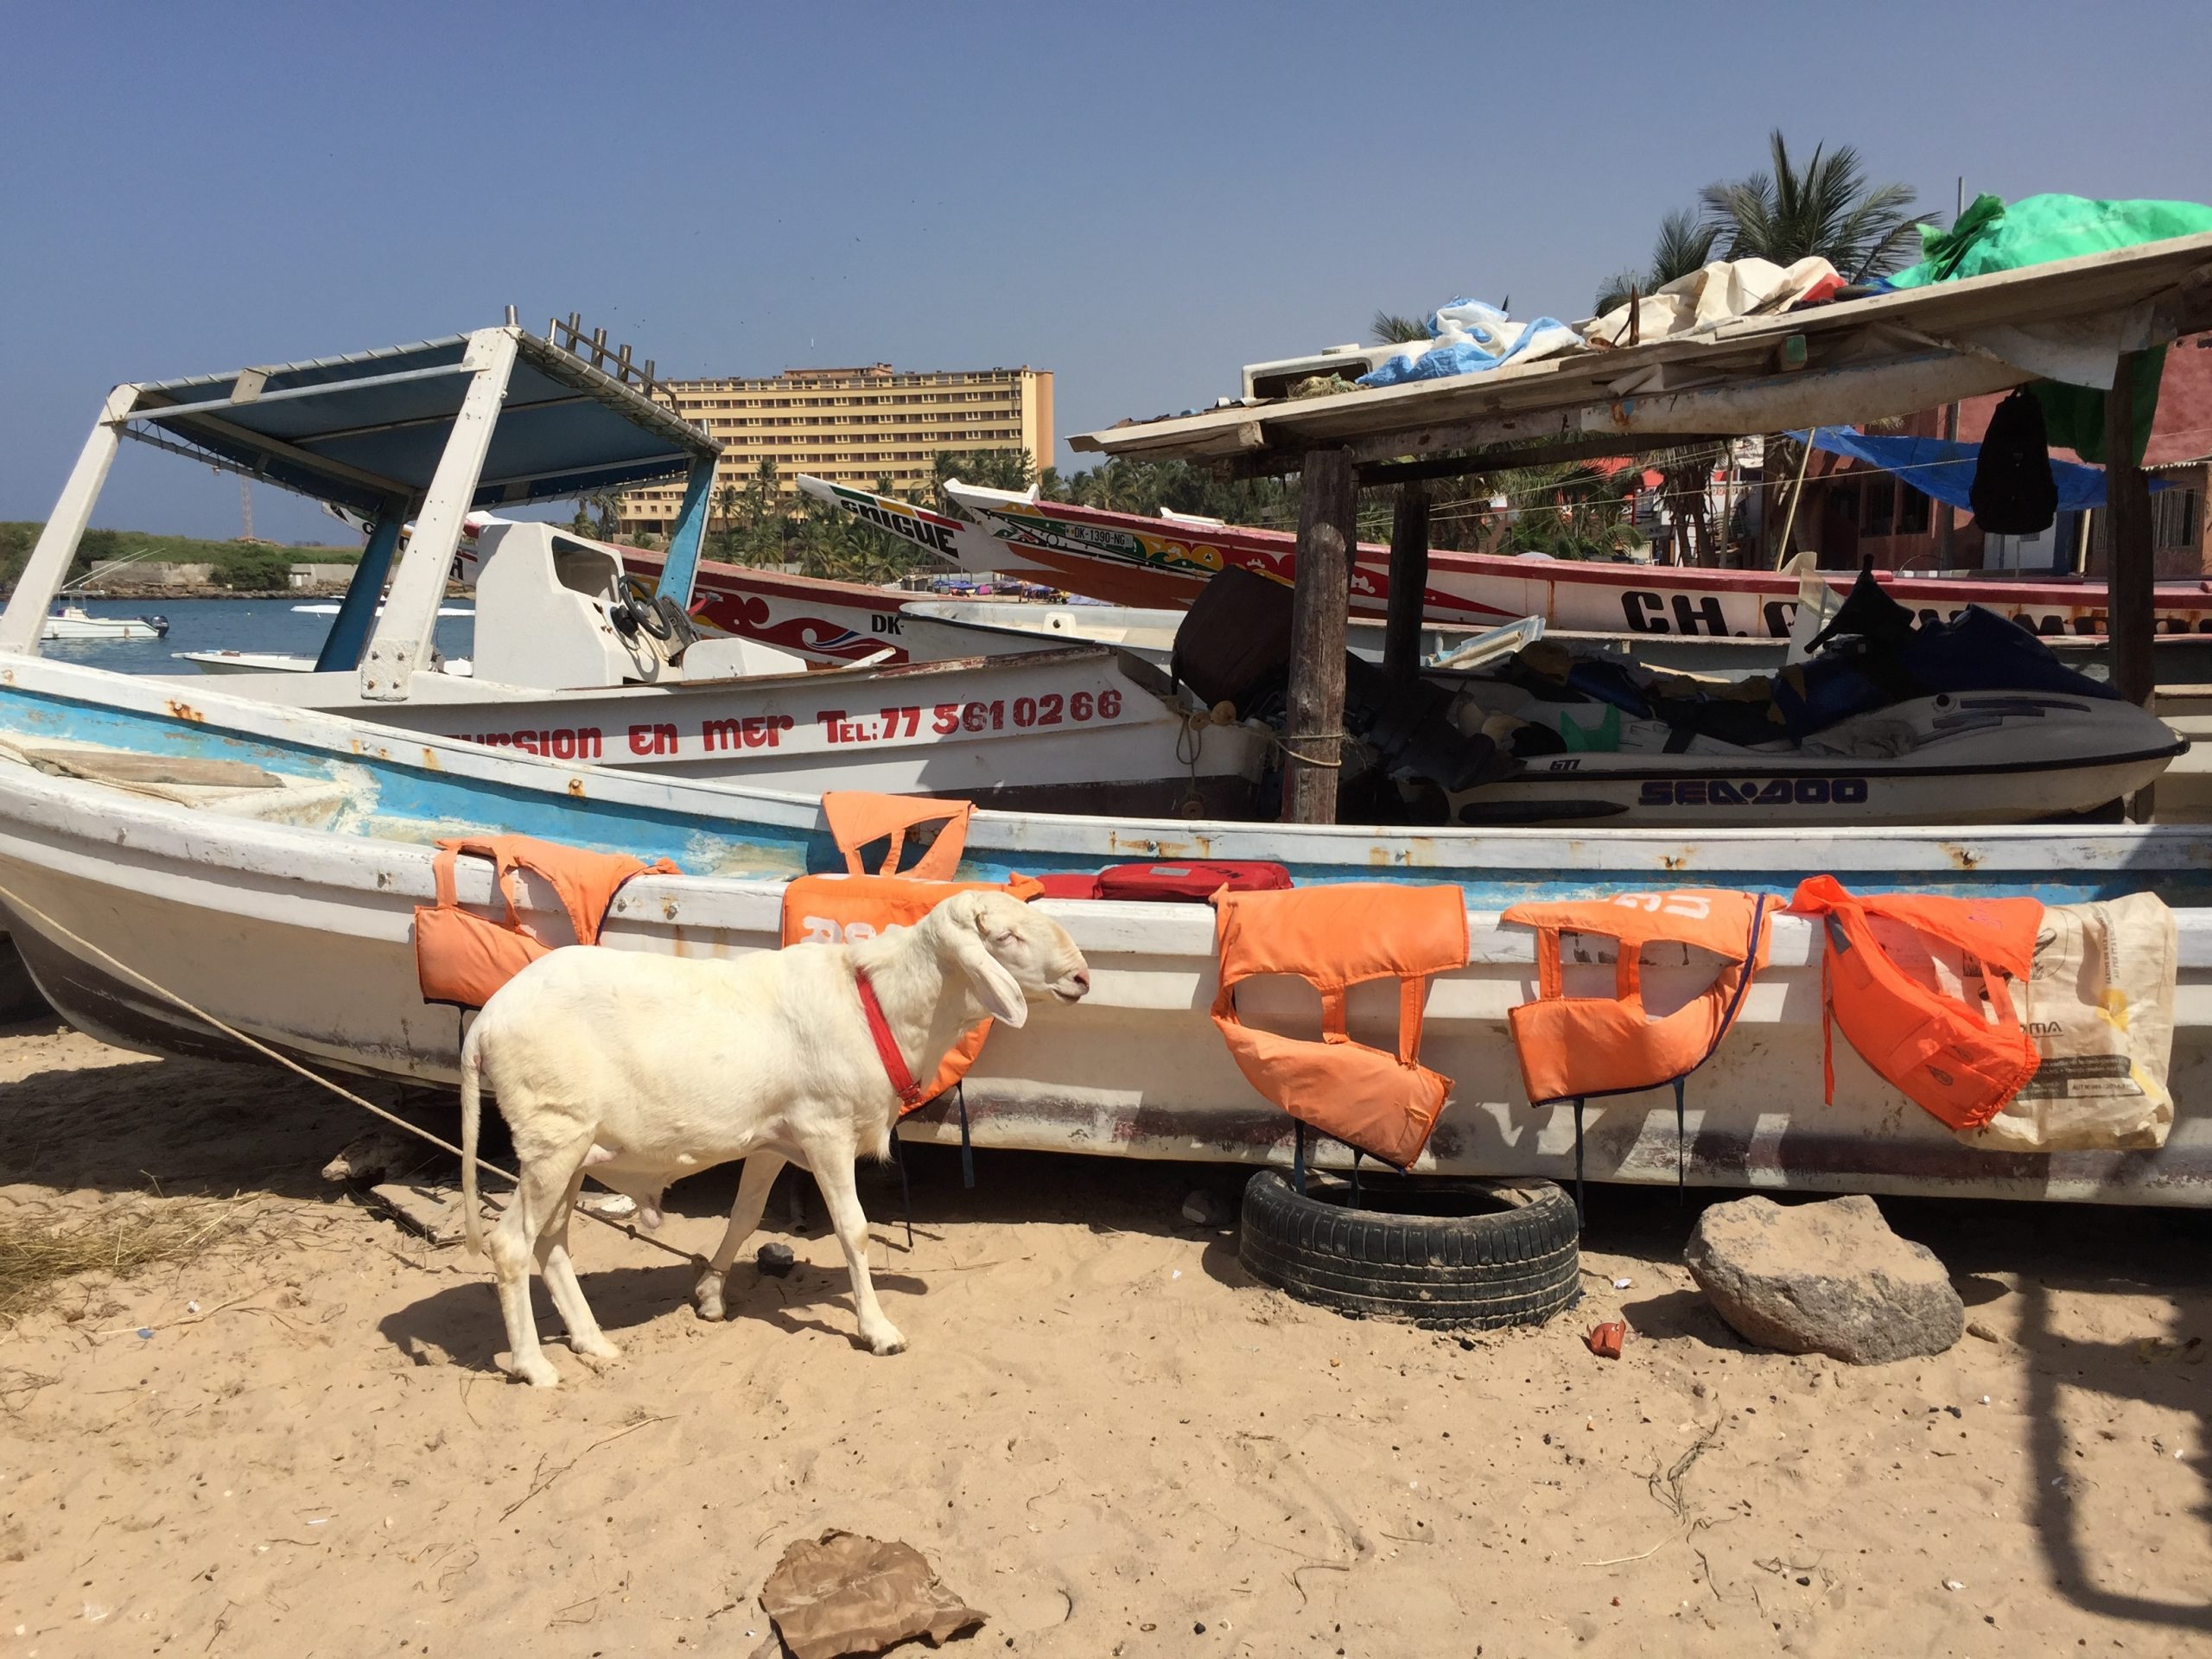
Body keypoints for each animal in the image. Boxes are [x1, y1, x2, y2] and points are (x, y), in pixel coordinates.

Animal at [458, 889, 1090, 1387]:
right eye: (1005, 936)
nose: (1083, 977)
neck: (879, 1005)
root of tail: (486, 1022)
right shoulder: (825, 1131)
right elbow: (854, 1231)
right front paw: (878, 1329)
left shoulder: (772, 1141)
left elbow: (745, 1217)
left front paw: (711, 1297)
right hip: (551, 1138)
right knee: (511, 1246)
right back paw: (535, 1366)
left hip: (572, 1150)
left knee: (552, 1244)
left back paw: (594, 1342)